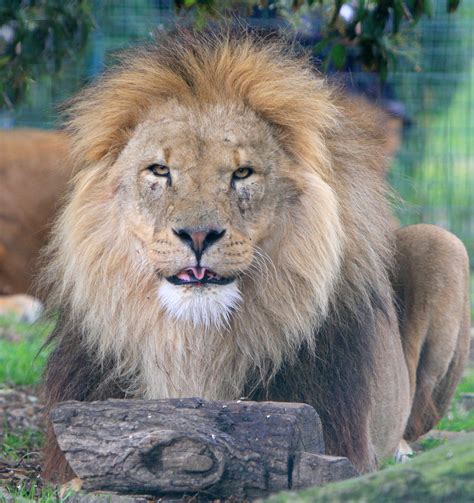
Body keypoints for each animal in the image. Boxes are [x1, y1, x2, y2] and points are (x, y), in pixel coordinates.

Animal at [41, 30, 470, 484]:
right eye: (159, 170)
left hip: (445, 244)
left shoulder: (337, 443)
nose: (198, 234)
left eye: (242, 173)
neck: (195, 341)